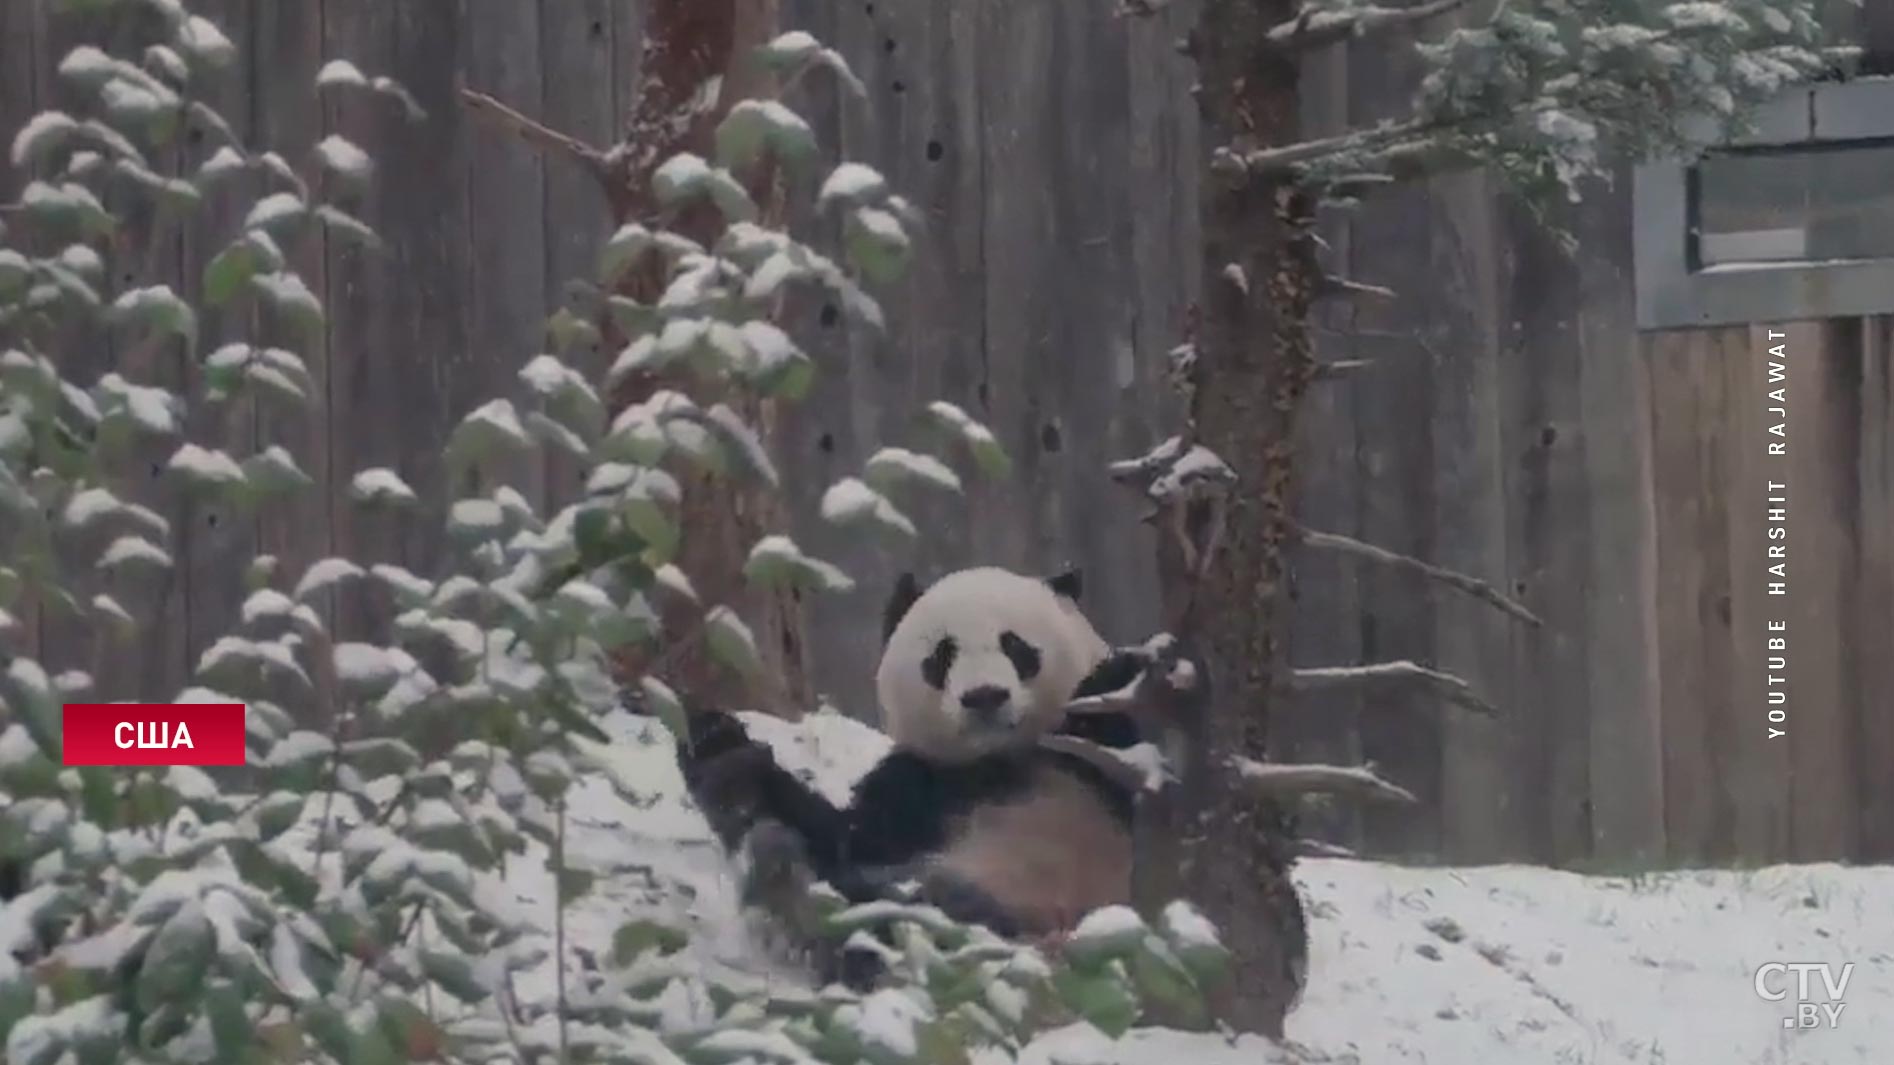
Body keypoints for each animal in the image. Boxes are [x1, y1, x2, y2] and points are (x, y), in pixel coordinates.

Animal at [666, 564, 1166, 977]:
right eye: (943, 655)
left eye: (1016, 646)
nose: (985, 696)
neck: (995, 761)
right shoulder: (919, 784)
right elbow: (848, 836)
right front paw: (719, 746)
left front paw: (1128, 665)